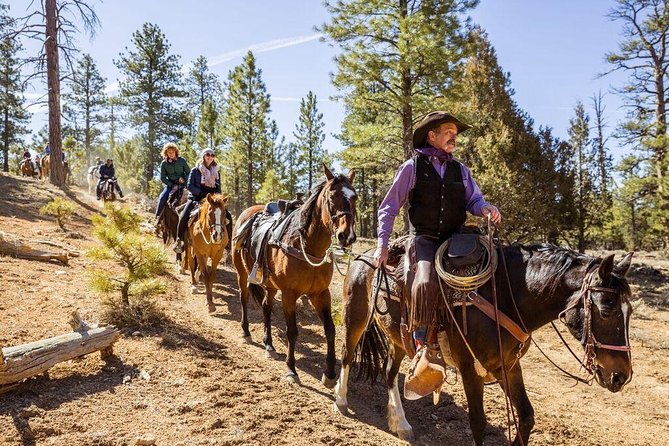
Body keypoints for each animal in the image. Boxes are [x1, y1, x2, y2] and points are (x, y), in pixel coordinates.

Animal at [230, 166, 354, 386]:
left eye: (355, 197)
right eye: (332, 197)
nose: (346, 235)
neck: (307, 246)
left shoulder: (321, 294)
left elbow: (330, 329)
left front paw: (330, 374)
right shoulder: (289, 294)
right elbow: (292, 331)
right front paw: (291, 369)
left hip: (270, 284)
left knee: (266, 307)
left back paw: (269, 344)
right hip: (242, 273)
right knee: (244, 298)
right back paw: (246, 332)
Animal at [334, 244, 632, 446]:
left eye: (629, 312)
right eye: (606, 309)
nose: (621, 376)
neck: (504, 297)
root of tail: (364, 255)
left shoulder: (507, 366)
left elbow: (526, 416)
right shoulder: (469, 368)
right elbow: (478, 422)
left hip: (398, 337)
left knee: (389, 373)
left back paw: (402, 424)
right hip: (354, 316)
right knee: (347, 354)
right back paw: (340, 400)